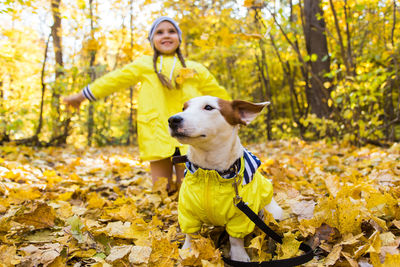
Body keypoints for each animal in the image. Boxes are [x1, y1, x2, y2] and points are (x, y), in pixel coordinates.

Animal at [169, 96, 284, 262]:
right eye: (184, 108)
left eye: (208, 107)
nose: (173, 119)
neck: (210, 172)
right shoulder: (187, 211)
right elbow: (191, 234)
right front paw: (188, 251)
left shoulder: (241, 215)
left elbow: (235, 239)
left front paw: (239, 256)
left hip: (273, 213)